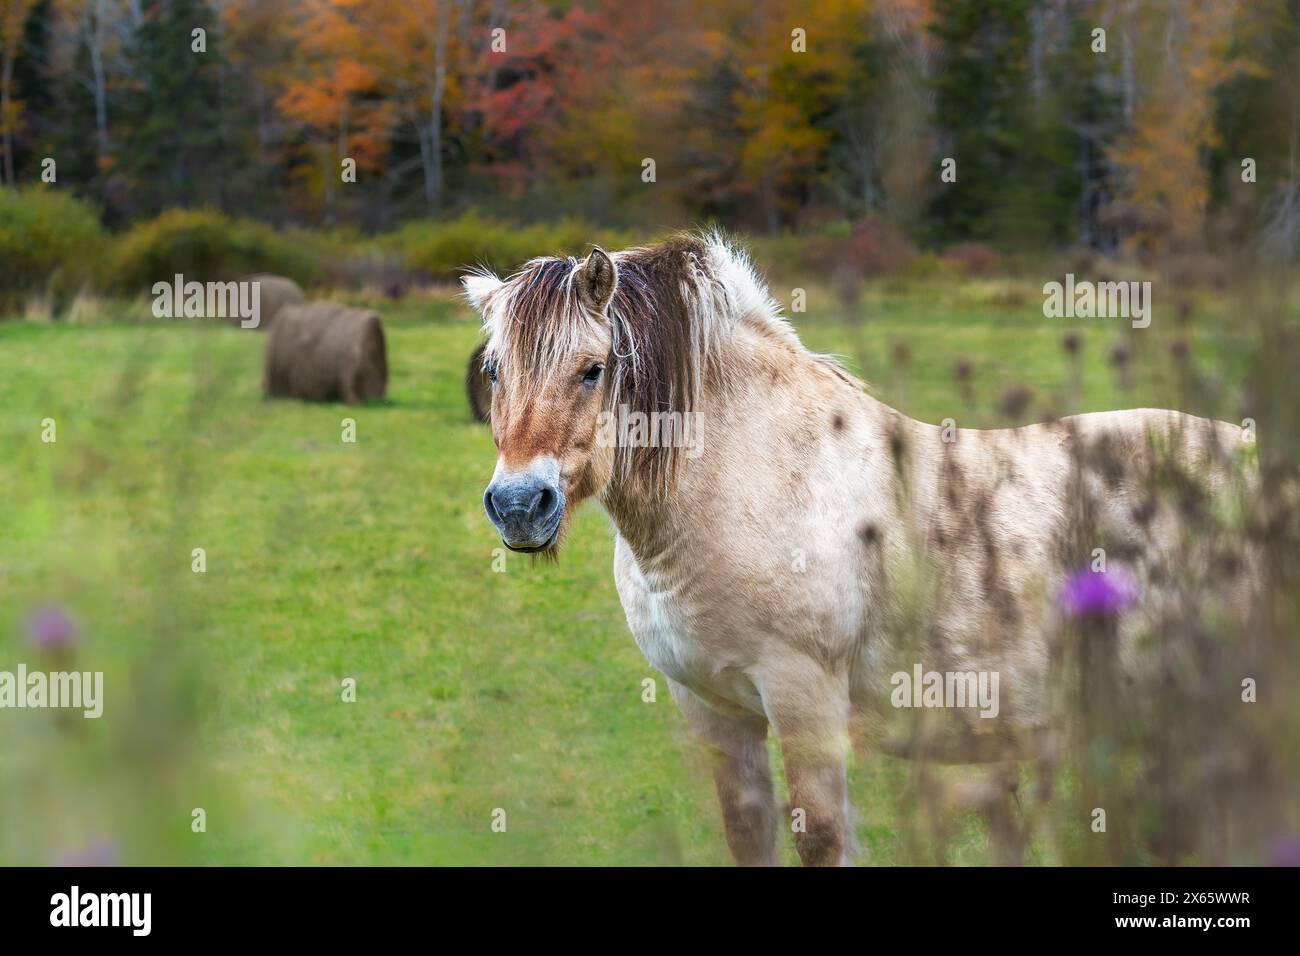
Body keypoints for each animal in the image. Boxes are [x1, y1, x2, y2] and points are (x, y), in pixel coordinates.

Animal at [462, 234, 1253, 868]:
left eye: (593, 369)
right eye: (495, 370)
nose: (520, 505)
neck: (747, 473)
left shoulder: (803, 697)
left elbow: (821, 839)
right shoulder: (713, 709)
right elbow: (748, 837)